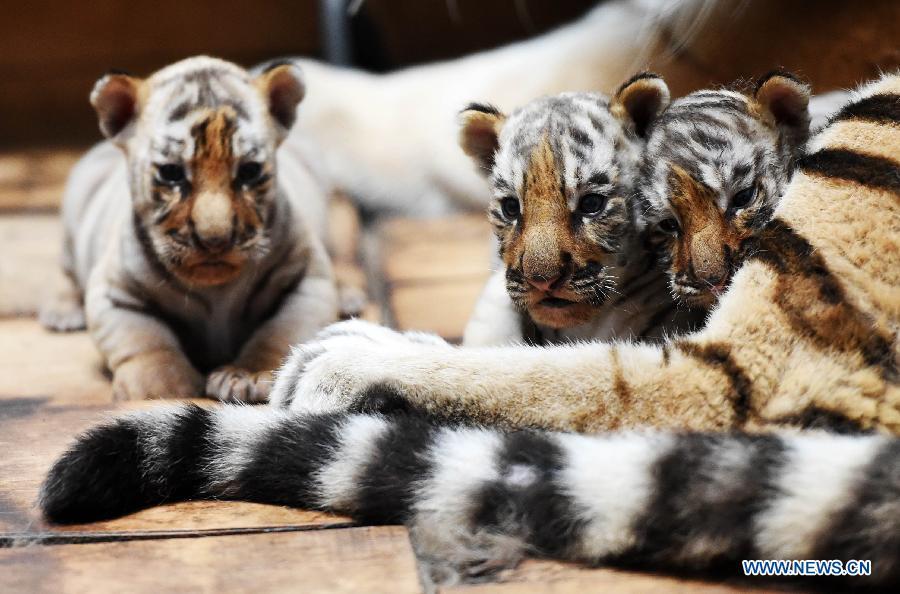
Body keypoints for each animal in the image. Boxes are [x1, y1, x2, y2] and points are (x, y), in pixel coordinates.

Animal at [38, 56, 339, 403]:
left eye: (249, 172)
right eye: (172, 173)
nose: (215, 239)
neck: (216, 289)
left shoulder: (307, 280)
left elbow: (280, 333)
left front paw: (248, 375)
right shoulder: (115, 292)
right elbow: (145, 339)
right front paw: (160, 388)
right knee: (67, 272)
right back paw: (63, 312)